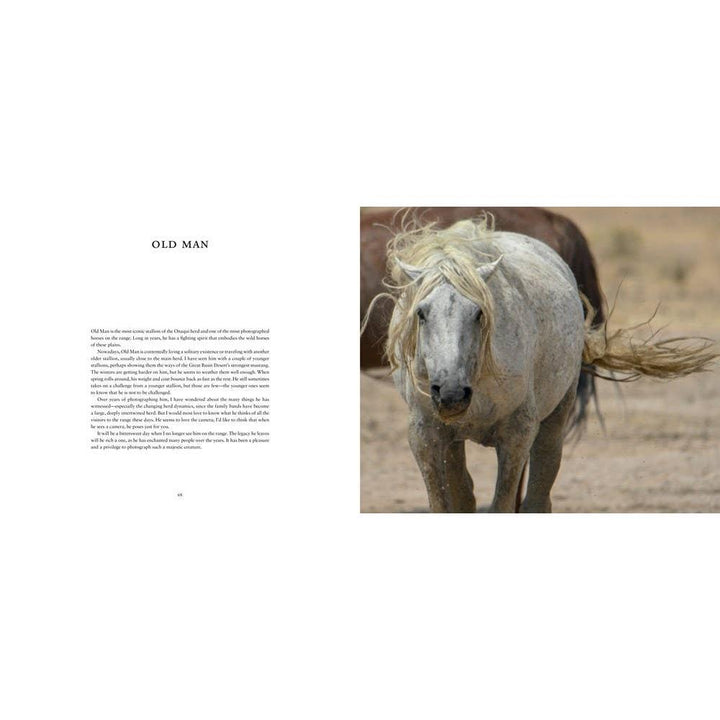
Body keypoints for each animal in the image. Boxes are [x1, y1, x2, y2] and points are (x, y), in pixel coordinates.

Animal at [384, 219, 717, 513]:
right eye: (421, 313)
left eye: (479, 313)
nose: (451, 393)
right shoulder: (426, 436)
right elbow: (445, 504)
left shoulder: (517, 436)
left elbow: (504, 505)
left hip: (554, 422)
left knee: (538, 499)